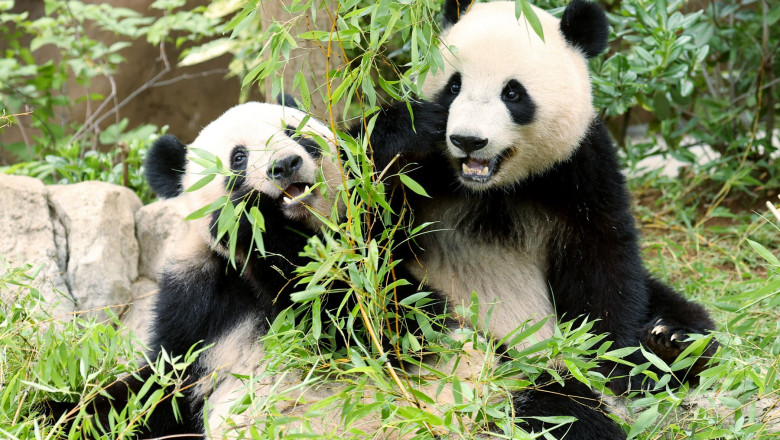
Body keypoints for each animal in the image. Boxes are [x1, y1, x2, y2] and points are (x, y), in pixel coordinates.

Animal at [358, 0, 717, 402]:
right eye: (454, 86)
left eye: (513, 94)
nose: (468, 140)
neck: (490, 188)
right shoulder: (414, 179)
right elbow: (357, 243)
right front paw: (409, 127)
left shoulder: (579, 169)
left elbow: (602, 262)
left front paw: (623, 364)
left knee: (675, 307)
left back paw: (672, 342)